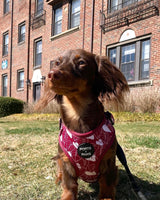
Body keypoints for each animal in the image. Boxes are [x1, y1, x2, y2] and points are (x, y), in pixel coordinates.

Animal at [35, 48, 129, 200]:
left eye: (81, 62)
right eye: (57, 63)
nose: (51, 74)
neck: (77, 112)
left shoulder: (109, 162)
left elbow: (107, 185)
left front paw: (106, 196)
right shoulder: (66, 162)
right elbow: (69, 186)